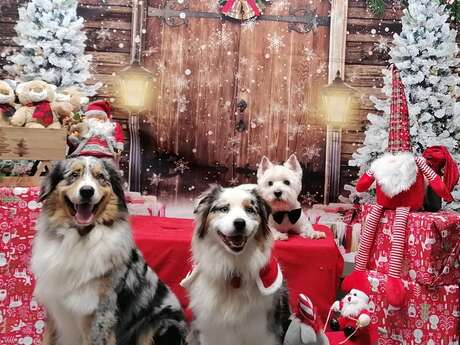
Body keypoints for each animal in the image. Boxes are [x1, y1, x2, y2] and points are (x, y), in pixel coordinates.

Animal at [31, 157, 188, 344]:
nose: (87, 191)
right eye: (74, 174)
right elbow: (47, 338)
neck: (79, 237)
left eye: (100, 176)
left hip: (160, 324)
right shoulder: (55, 309)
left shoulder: (99, 313)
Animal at [181, 185, 292, 344]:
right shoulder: (210, 330)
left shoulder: (264, 330)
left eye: (250, 210)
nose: (240, 223)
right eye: (223, 209)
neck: (234, 266)